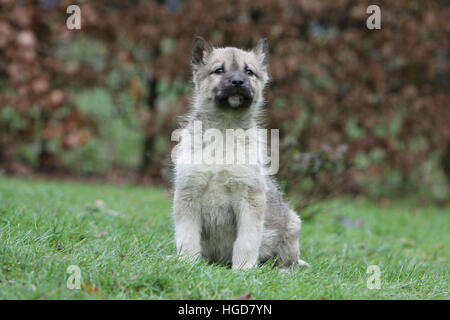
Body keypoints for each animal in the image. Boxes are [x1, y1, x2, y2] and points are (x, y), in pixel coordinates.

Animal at [172, 36, 310, 268]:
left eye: (249, 72)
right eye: (219, 70)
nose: (238, 82)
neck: (224, 131)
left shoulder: (250, 199)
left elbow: (246, 241)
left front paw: (243, 269)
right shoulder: (187, 195)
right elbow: (187, 238)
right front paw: (186, 263)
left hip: (292, 224)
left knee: (287, 260)